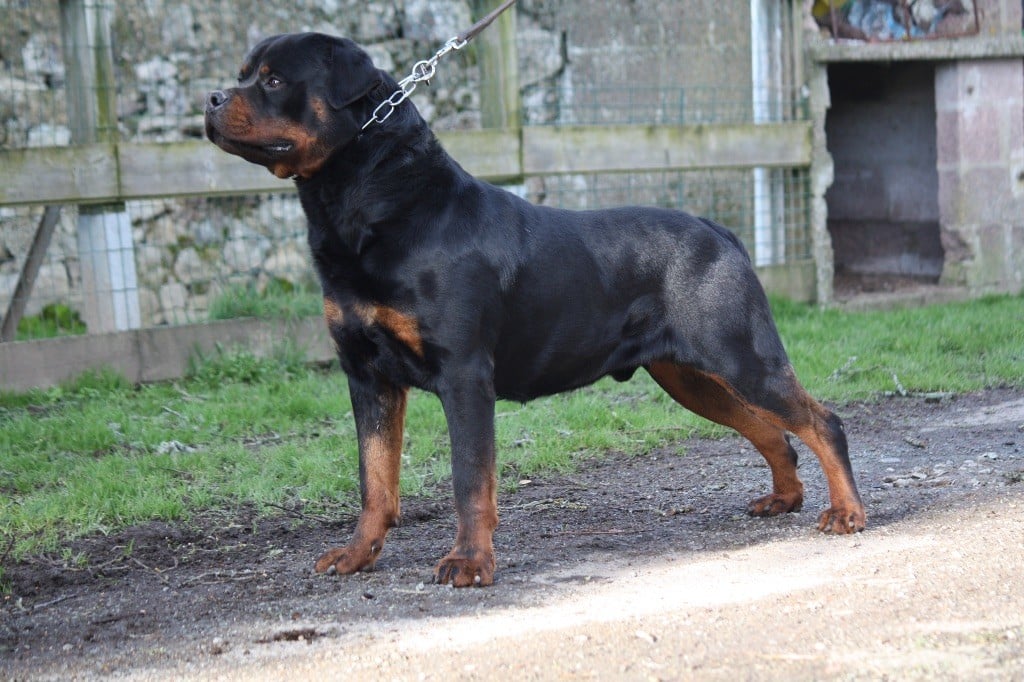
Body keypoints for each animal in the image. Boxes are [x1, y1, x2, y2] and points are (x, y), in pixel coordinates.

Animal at [205, 32, 865, 587]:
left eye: (272, 80)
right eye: (242, 75)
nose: (210, 98)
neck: (381, 204)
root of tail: (720, 232)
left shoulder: (464, 374)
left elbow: (470, 478)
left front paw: (470, 562)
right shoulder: (367, 376)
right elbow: (375, 479)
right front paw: (357, 554)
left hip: (739, 355)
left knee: (820, 420)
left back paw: (847, 513)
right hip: (692, 377)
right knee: (772, 429)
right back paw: (785, 499)